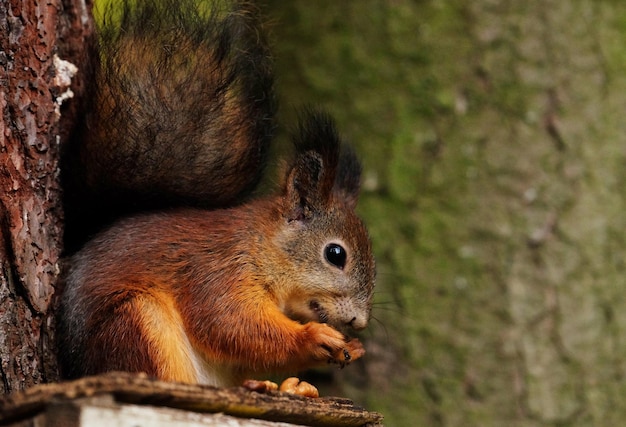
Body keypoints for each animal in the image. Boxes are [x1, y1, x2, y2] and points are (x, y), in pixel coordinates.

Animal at [56, 0, 372, 394]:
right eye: (335, 254)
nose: (360, 321)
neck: (260, 247)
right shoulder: (217, 272)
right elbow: (228, 323)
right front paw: (311, 338)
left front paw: (351, 349)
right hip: (136, 320)